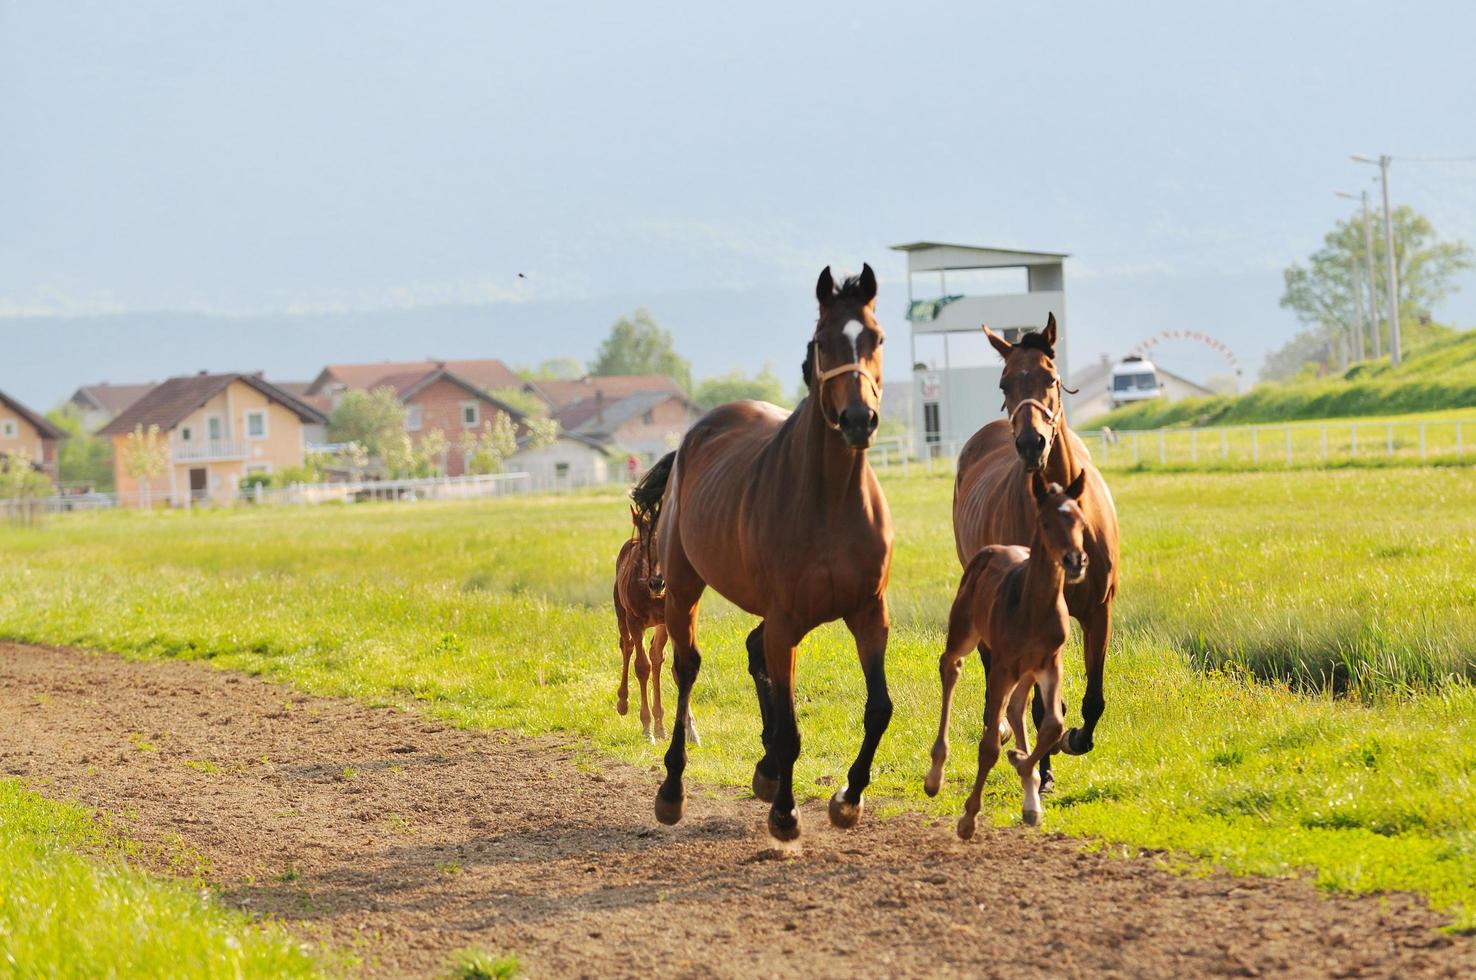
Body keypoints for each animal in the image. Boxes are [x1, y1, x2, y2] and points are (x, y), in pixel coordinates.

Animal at [926, 472, 1092, 838]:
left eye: (1081, 520)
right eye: (1045, 522)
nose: (1076, 561)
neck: (1033, 608)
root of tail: (990, 549)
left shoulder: (1050, 663)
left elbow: (1053, 726)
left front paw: (1022, 766)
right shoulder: (1002, 665)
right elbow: (989, 745)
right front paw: (968, 819)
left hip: (1026, 670)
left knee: (1017, 707)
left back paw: (1028, 792)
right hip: (967, 632)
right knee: (950, 665)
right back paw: (935, 774)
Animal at [944, 317, 1115, 791]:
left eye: (1051, 378)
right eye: (1005, 383)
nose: (1031, 443)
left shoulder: (1099, 609)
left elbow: (1093, 699)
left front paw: (1076, 738)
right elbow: (1038, 705)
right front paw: (1043, 769)